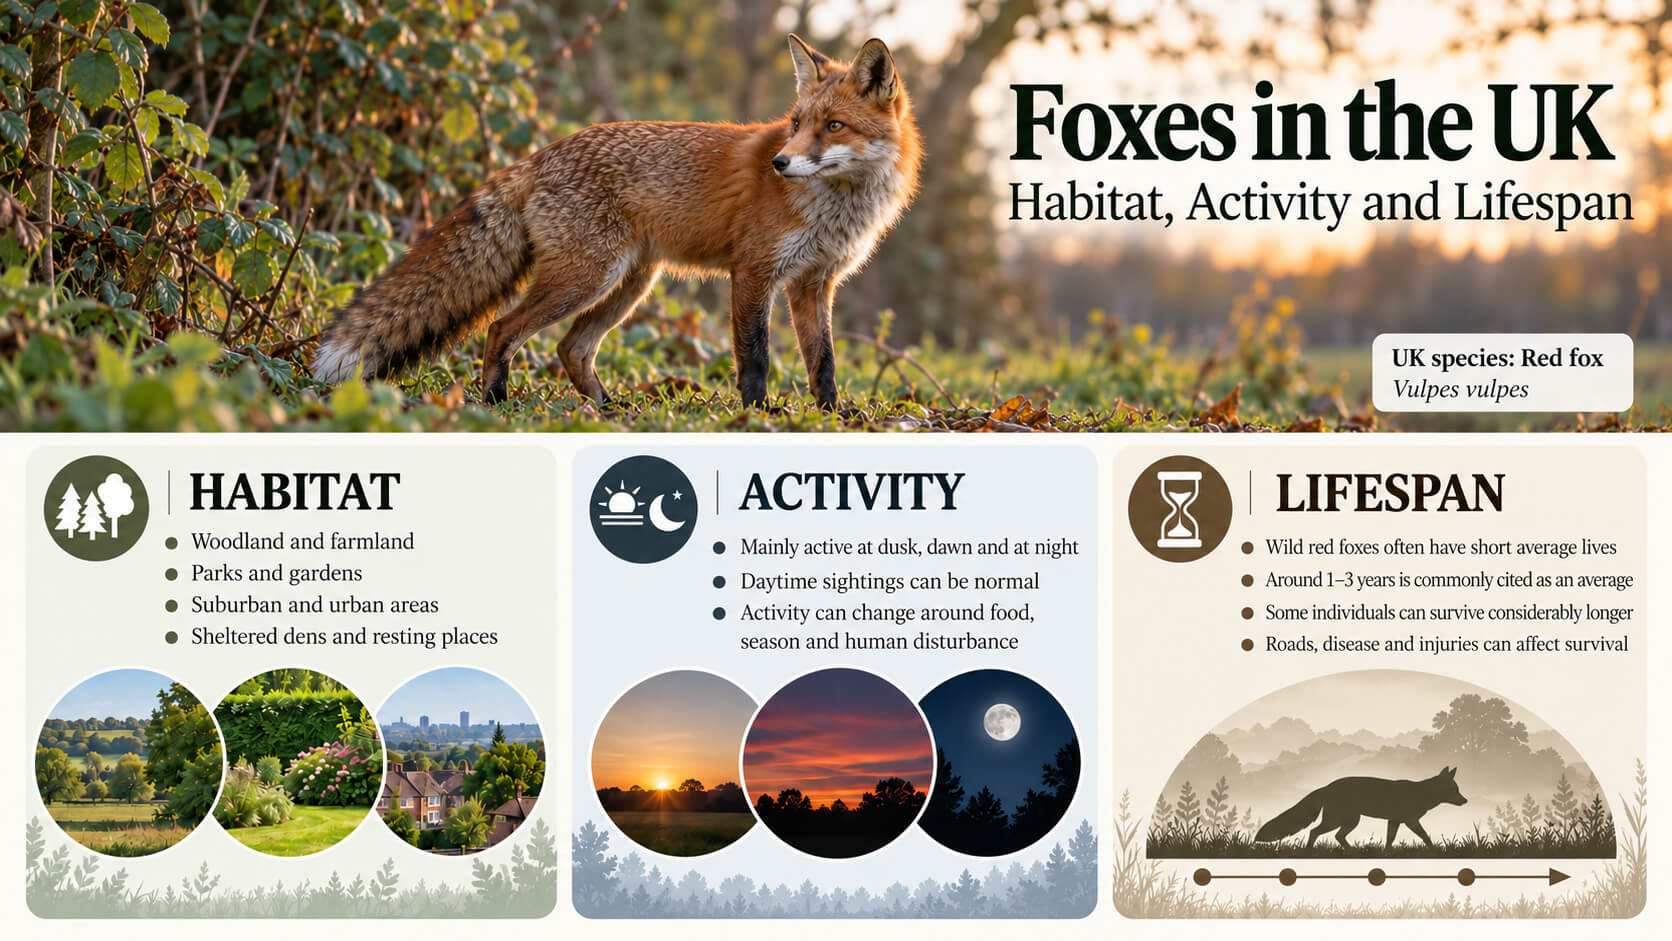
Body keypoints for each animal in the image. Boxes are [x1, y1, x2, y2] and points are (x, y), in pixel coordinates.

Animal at [312, 34, 921, 409]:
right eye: (796, 124)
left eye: (834, 125)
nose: (779, 163)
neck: (836, 210)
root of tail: (541, 154)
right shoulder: (754, 274)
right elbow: (755, 359)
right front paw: (759, 416)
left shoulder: (814, 284)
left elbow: (824, 364)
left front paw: (832, 417)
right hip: (587, 278)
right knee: (503, 329)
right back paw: (495, 404)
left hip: (629, 284)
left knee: (572, 349)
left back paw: (606, 408)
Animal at [1253, 766, 1468, 849]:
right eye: (1454, 790)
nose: (1465, 801)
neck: (1422, 793)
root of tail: (1328, 786)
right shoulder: (1410, 821)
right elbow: (1425, 837)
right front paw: (1436, 851)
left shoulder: (1395, 821)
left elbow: (1390, 840)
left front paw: (1386, 855)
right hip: (1340, 821)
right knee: (1315, 832)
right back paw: (1308, 852)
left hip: (1349, 821)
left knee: (1338, 837)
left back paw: (1352, 852)